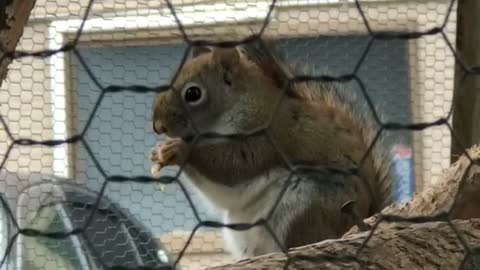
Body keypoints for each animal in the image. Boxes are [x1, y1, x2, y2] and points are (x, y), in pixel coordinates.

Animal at [150, 38, 394, 260]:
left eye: (193, 93)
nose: (158, 126)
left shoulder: (267, 136)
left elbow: (233, 166)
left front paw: (178, 151)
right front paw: (157, 153)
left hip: (307, 207)